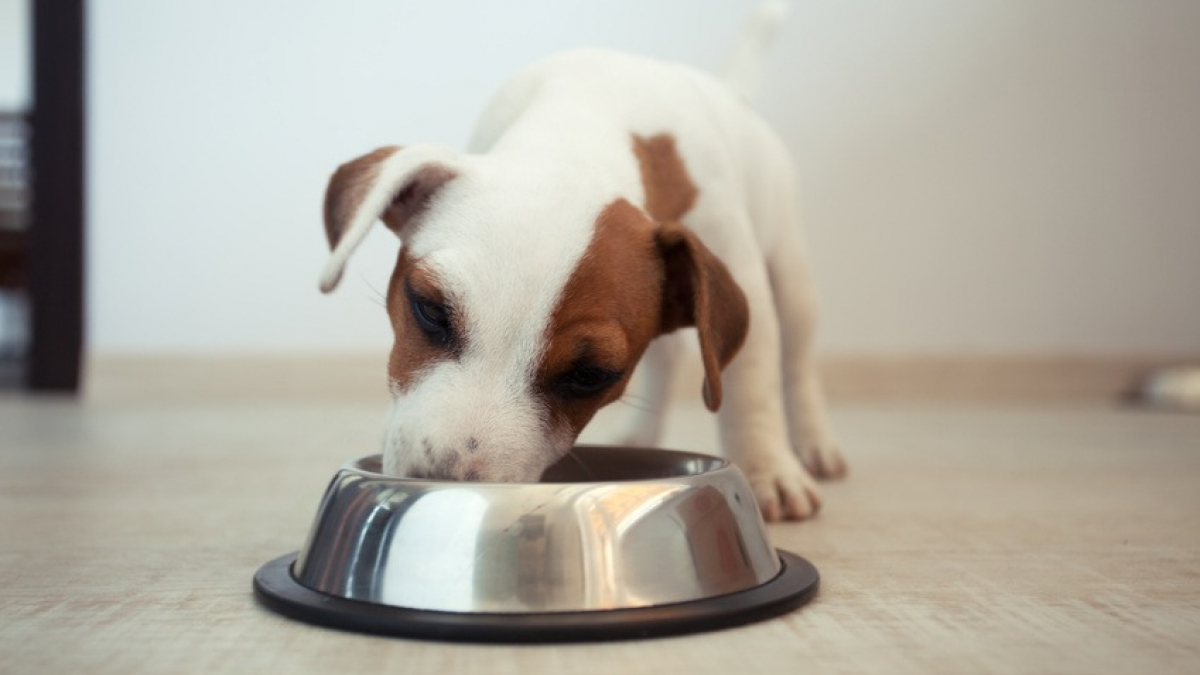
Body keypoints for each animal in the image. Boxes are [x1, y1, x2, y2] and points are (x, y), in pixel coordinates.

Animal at [319, 3, 844, 521]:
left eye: (590, 375)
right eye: (429, 310)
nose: (445, 485)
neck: (581, 126)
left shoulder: (741, 268)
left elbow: (750, 387)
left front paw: (766, 469)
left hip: (790, 278)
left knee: (796, 363)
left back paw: (813, 444)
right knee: (668, 355)